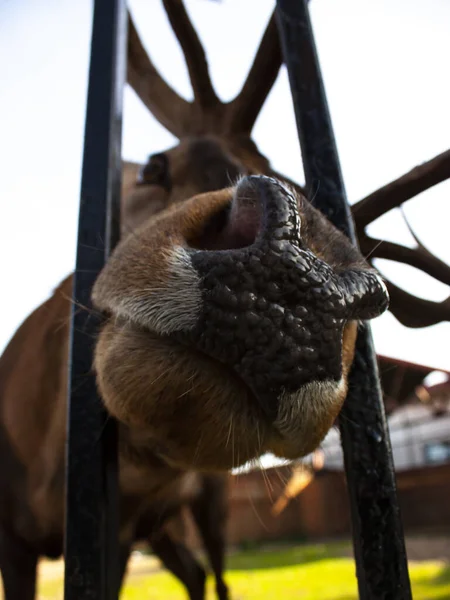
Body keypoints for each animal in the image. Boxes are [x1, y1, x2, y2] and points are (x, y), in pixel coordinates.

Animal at [0, 2, 388, 596]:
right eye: (154, 165)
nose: (303, 275)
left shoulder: (120, 533)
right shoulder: (14, 538)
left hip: (205, 506)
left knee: (211, 572)